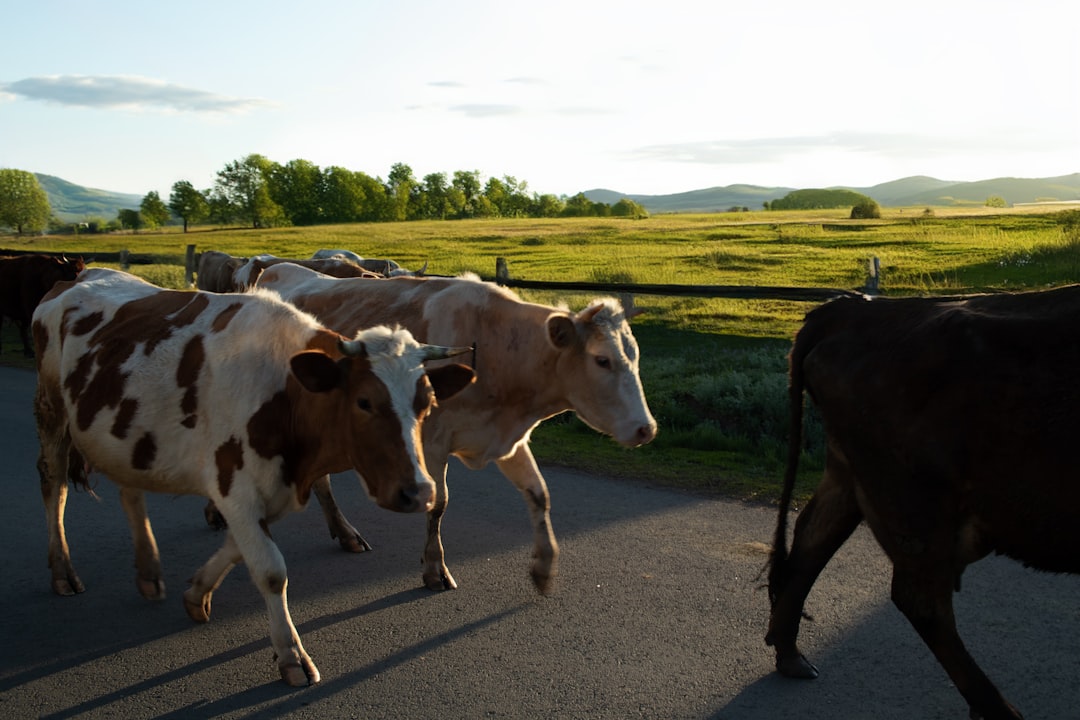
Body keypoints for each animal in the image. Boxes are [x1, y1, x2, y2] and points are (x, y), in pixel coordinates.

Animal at [33, 268, 475, 686]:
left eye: (427, 403)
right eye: (364, 401)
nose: (419, 492)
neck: (283, 391)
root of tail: (75, 278)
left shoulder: (270, 487)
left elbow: (236, 548)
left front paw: (196, 593)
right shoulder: (235, 484)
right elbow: (270, 569)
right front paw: (291, 655)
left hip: (123, 435)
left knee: (130, 491)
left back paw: (148, 571)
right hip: (52, 411)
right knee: (53, 484)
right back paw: (62, 570)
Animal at [231, 262, 652, 595]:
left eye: (635, 355)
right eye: (602, 360)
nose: (646, 429)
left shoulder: (508, 439)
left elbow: (539, 495)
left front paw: (544, 568)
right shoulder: (431, 442)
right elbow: (439, 503)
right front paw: (435, 569)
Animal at [760, 287, 1080, 720]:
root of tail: (852, 308)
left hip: (852, 476)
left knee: (814, 538)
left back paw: (791, 654)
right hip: (914, 507)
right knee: (921, 600)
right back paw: (998, 709)